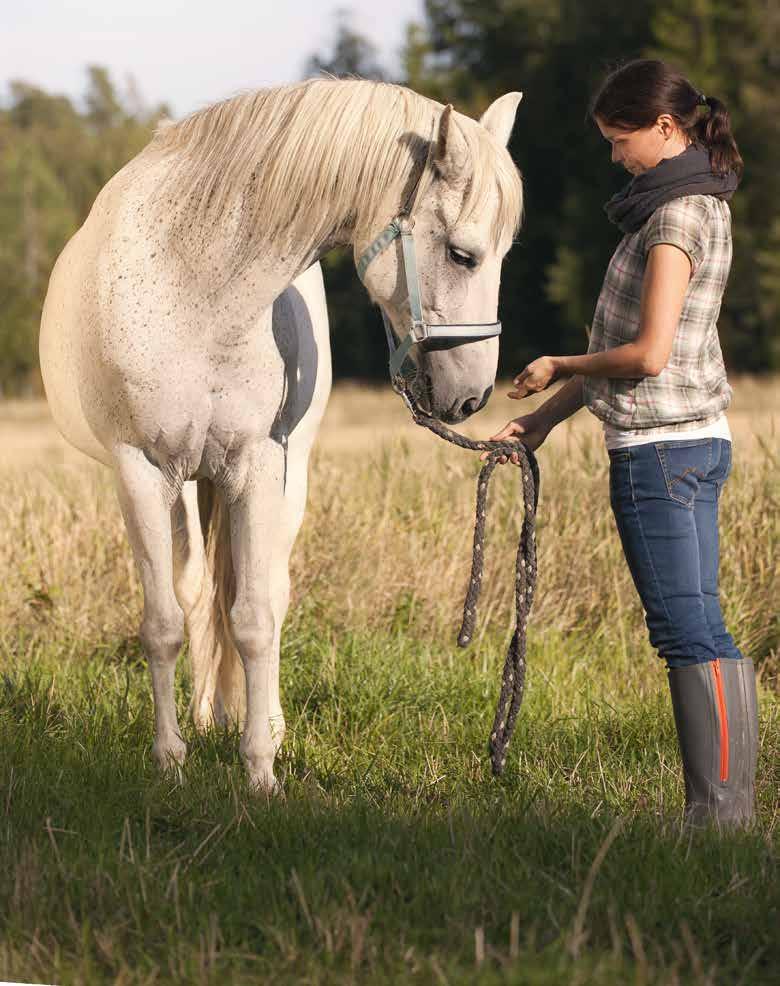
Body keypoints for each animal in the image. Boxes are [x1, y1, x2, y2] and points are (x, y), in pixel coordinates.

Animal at [38, 77, 524, 788]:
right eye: (464, 254)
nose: (472, 396)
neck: (194, 284)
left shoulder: (256, 466)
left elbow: (255, 618)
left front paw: (260, 766)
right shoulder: (141, 470)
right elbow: (163, 624)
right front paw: (170, 761)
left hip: (283, 480)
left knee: (266, 587)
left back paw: (256, 719)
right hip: (187, 485)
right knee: (194, 591)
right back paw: (204, 717)